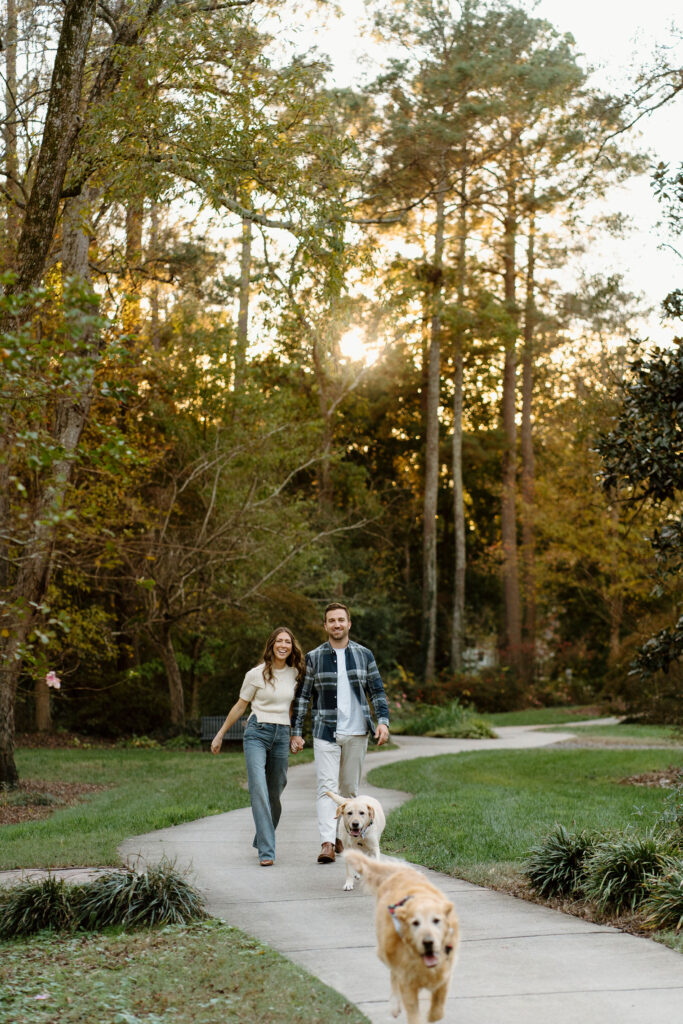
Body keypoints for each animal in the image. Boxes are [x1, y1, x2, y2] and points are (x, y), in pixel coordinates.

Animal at [342, 847, 458, 1024]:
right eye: (415, 923)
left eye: (436, 921)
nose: (428, 942)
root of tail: (401, 871)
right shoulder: (407, 982)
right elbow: (413, 1011)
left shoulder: (445, 971)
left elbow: (438, 1005)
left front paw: (433, 1014)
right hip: (384, 951)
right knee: (393, 975)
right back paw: (395, 1006)